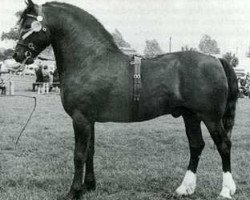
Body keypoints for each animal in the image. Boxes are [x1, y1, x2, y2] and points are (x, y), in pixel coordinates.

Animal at [13, 0, 238, 199]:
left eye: (28, 25)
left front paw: (74, 192)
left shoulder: (80, 118)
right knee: (196, 145)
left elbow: (78, 155)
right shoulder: (89, 120)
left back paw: (226, 190)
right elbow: (90, 152)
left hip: (210, 118)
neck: (89, 60)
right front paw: (89, 186)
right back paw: (185, 188)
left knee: (224, 145)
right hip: (190, 116)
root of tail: (216, 59)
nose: (17, 55)